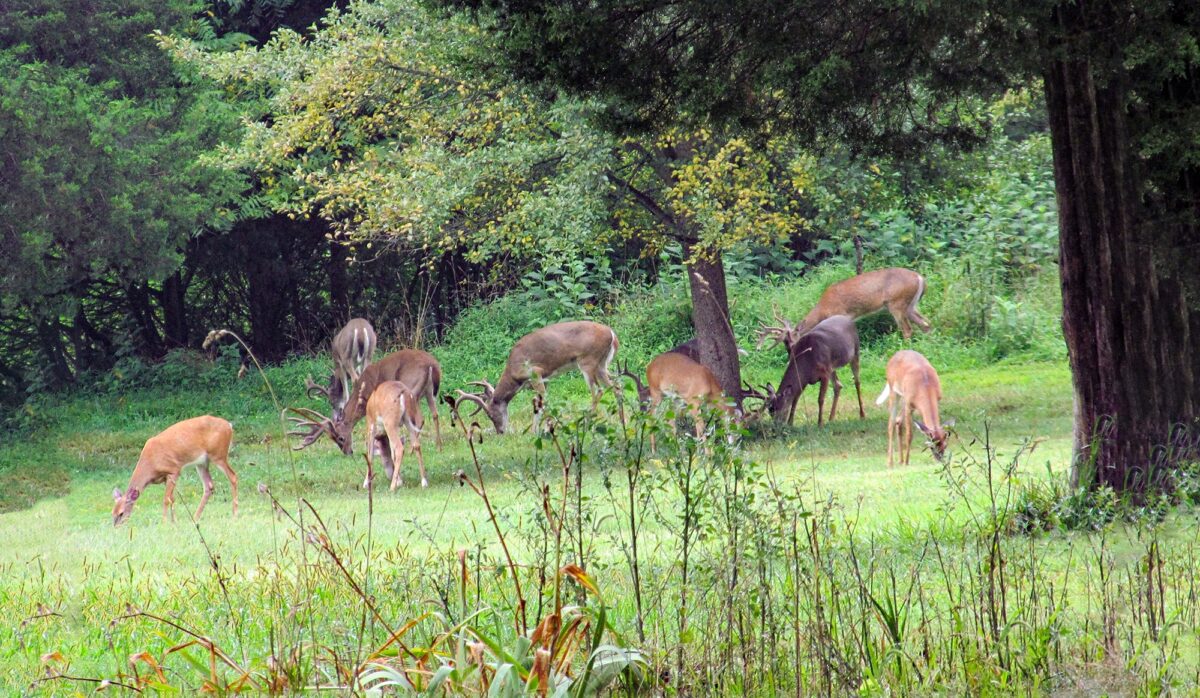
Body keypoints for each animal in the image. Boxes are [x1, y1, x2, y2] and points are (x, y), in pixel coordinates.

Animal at [289, 349, 442, 454]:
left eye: (340, 438)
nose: (347, 452)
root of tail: (432, 365)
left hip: (411, 390)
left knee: (420, 419)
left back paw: (411, 449)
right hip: (428, 392)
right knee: (434, 414)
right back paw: (438, 445)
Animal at [449, 321, 621, 434]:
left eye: (490, 415)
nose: (500, 432)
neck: (514, 374)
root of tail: (612, 334)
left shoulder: (535, 373)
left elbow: (545, 402)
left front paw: (549, 428)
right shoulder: (545, 379)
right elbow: (538, 404)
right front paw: (536, 431)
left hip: (588, 362)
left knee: (598, 390)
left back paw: (586, 422)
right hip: (602, 365)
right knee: (616, 385)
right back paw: (621, 420)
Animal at [797, 268, 932, 340]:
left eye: (793, 338)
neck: (823, 308)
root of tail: (920, 278)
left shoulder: (840, 313)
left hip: (897, 303)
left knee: (908, 329)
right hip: (910, 305)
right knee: (926, 323)